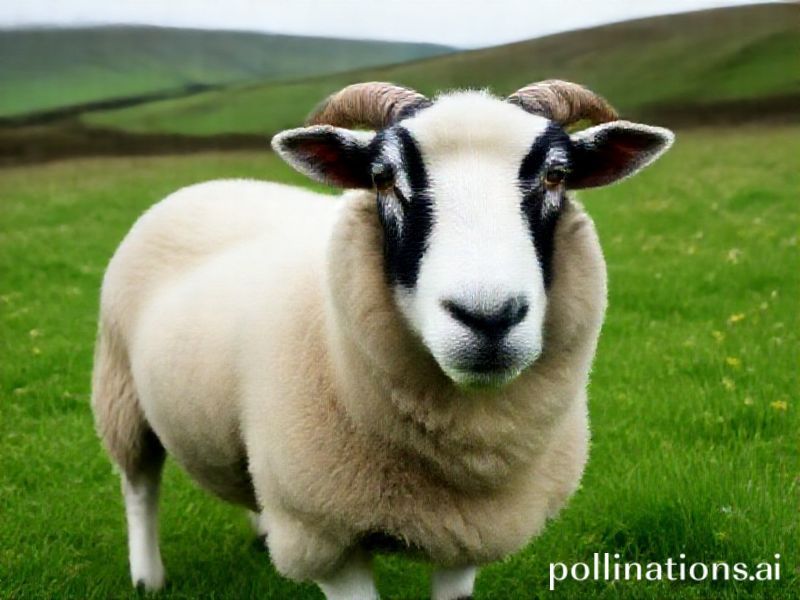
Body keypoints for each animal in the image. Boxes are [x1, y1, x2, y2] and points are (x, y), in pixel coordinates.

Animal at [91, 79, 674, 599]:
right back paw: (148, 577)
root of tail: (215, 183)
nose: (488, 318)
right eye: (383, 178)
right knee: (139, 484)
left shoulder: (469, 531)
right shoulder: (324, 537)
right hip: (121, 390)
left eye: (557, 175)